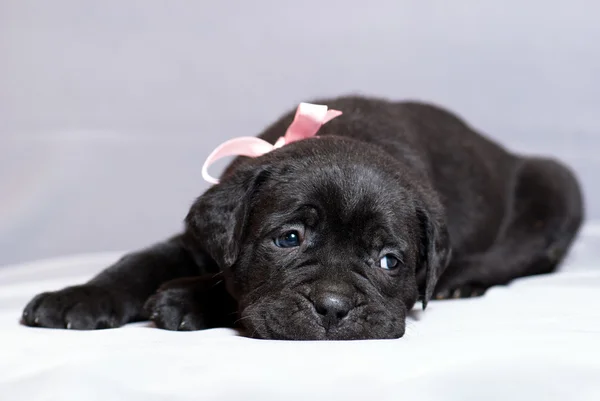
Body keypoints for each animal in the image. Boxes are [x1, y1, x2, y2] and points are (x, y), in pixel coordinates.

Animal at [21, 96, 584, 338]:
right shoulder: (195, 241)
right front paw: (76, 298)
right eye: (288, 239)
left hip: (557, 185)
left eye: (389, 261)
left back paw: (462, 282)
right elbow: (137, 263)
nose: (333, 309)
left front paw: (184, 298)